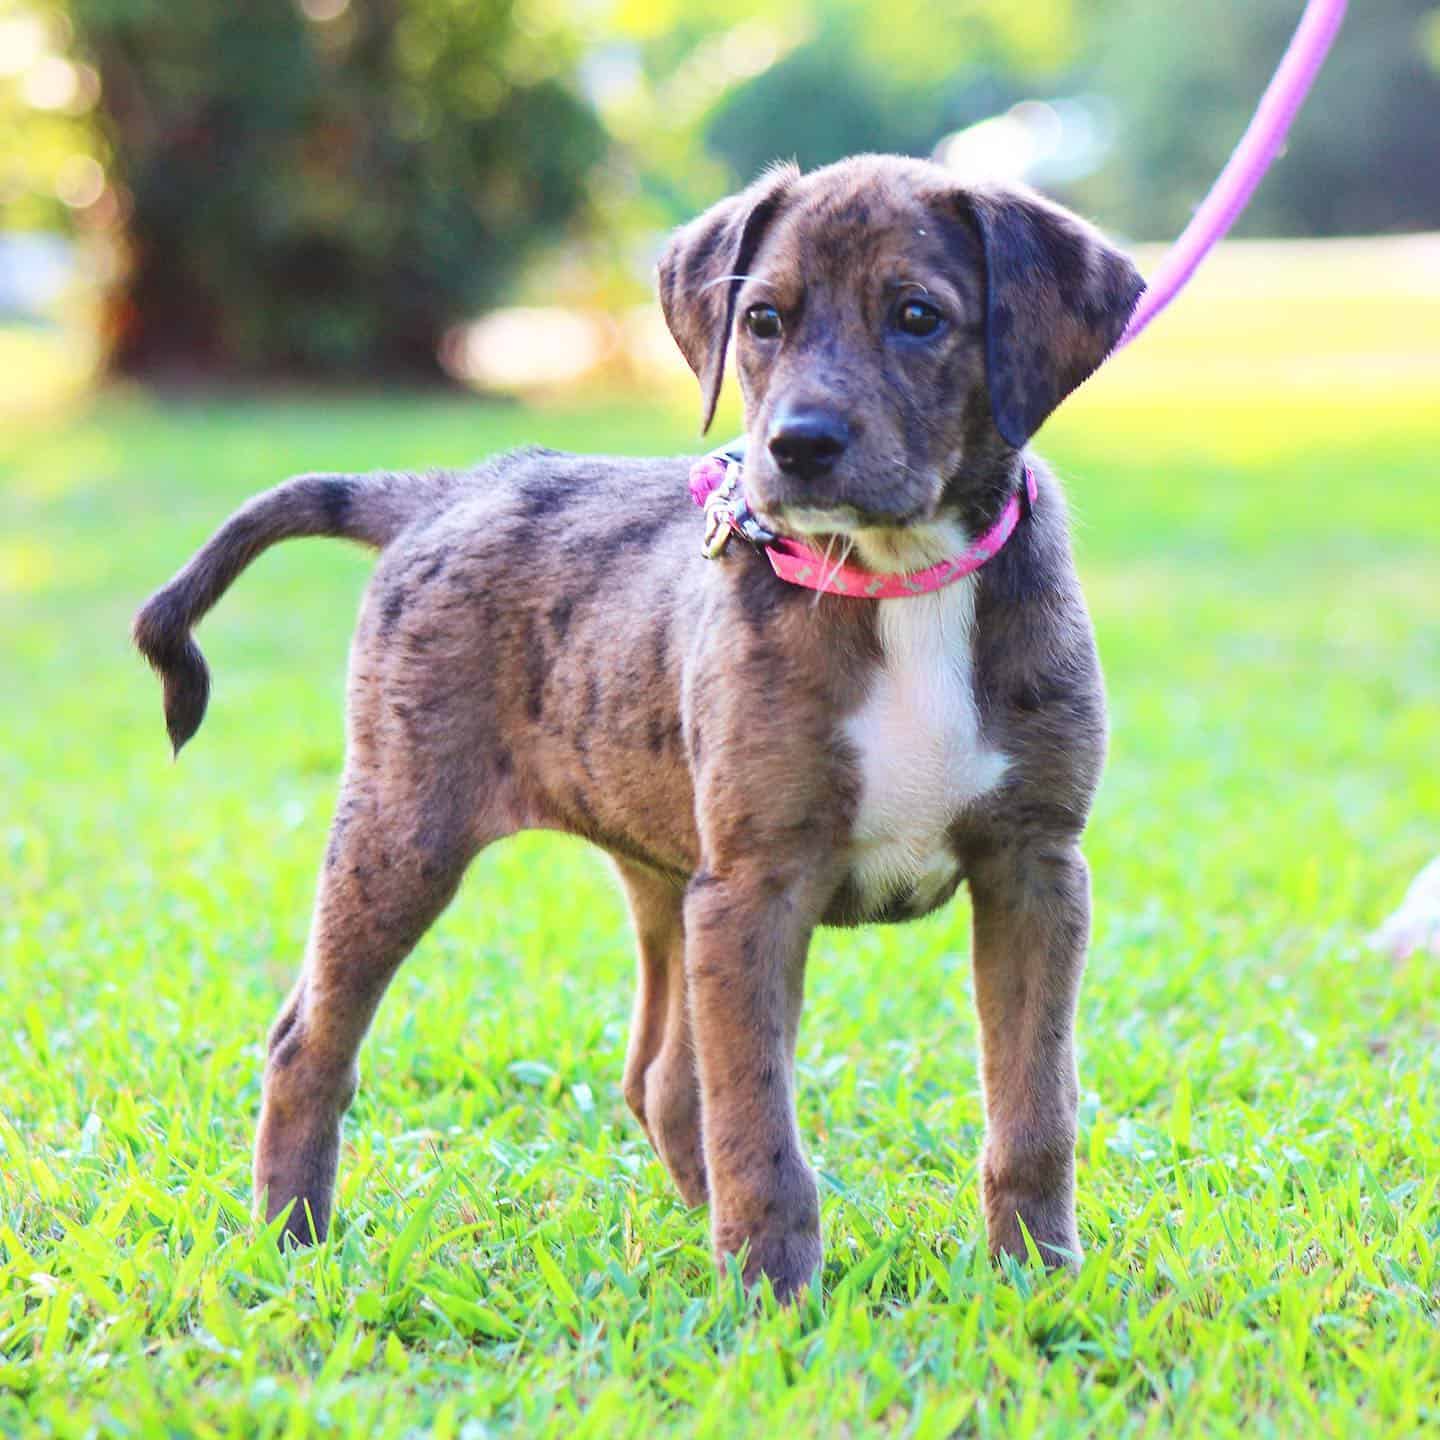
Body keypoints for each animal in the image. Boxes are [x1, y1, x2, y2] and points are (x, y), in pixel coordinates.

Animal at [137, 151, 1146, 1301]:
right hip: (403, 828)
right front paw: (773, 1300)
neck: (901, 578)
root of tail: (444, 492)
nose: (795, 448)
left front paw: (1038, 1279)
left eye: (919, 317)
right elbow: (759, 1120)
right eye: (762, 319)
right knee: (309, 1041)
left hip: (661, 867)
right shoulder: (756, 886)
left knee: (661, 1078)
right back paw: (290, 1243)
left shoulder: (1033, 867)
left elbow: (1035, 1103)